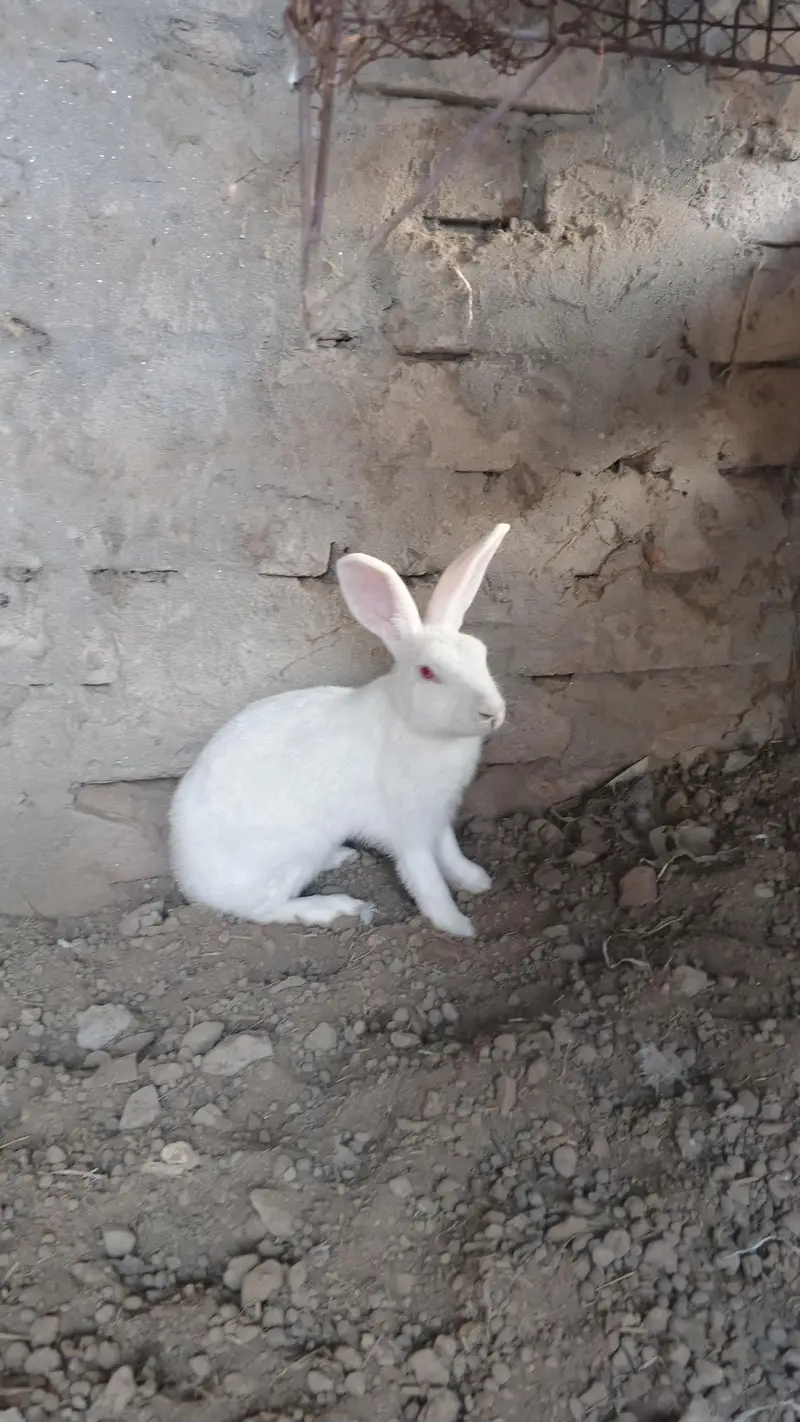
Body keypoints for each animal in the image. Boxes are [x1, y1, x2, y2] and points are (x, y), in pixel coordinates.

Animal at [169, 522, 510, 938]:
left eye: (481, 654)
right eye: (428, 672)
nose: (492, 712)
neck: (412, 725)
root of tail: (190, 880)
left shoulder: (437, 813)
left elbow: (449, 851)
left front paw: (475, 880)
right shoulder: (407, 825)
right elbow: (424, 875)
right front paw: (457, 925)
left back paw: (341, 857)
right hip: (292, 855)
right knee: (262, 908)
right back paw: (333, 908)